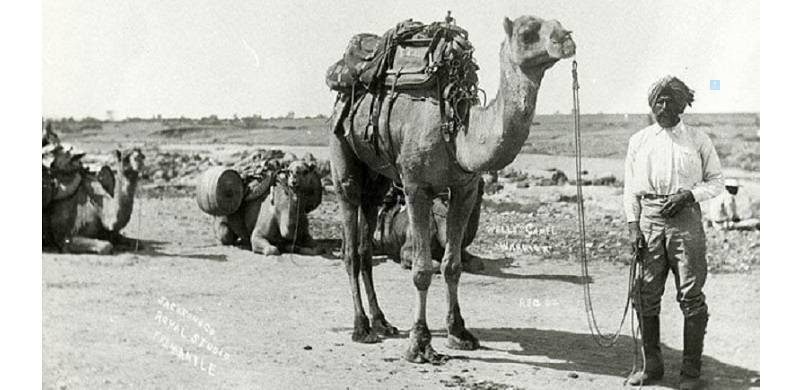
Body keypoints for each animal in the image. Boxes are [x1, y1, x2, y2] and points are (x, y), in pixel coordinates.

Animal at [328, 15, 580, 362]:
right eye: (527, 31)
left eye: (558, 23)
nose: (566, 38)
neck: (458, 132)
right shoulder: (415, 187)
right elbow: (422, 270)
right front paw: (420, 344)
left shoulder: (465, 189)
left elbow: (452, 266)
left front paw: (459, 333)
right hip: (341, 148)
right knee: (351, 241)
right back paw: (361, 327)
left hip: (377, 176)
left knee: (367, 242)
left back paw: (382, 322)